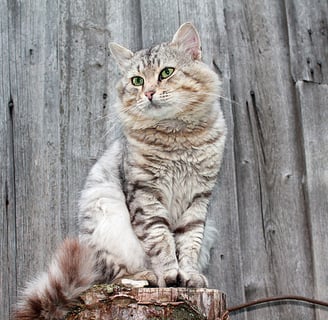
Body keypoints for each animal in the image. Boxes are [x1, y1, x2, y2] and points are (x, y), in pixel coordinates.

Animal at [14, 23, 227, 320]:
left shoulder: (198, 198)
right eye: (137, 81)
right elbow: (161, 240)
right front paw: (169, 275)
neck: (176, 136)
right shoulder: (146, 194)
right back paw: (147, 276)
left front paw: (189, 276)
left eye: (166, 73)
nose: (148, 93)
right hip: (106, 214)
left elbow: (188, 244)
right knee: (117, 275)